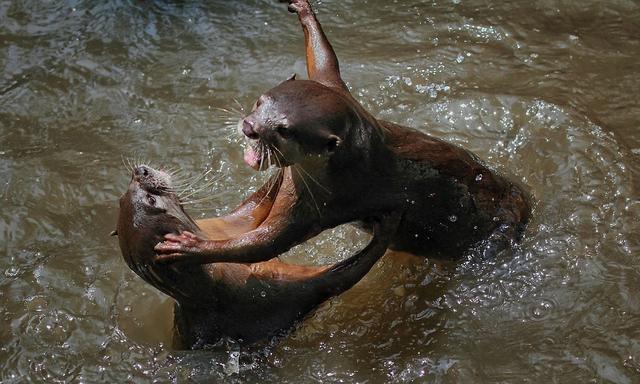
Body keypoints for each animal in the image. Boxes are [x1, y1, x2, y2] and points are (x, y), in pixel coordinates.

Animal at [115, 164, 396, 350]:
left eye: (121, 197)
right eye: (151, 199)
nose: (140, 170)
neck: (214, 277)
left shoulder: (228, 226)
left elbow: (257, 204)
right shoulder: (263, 294)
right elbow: (334, 279)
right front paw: (384, 233)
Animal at [154, 0, 528, 268]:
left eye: (284, 130)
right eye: (260, 100)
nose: (250, 127)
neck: (347, 161)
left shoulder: (322, 203)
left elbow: (267, 243)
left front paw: (193, 248)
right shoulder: (337, 90)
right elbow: (323, 60)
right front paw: (304, 10)